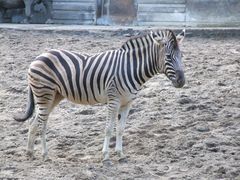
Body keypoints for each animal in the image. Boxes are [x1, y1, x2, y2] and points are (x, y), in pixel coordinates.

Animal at [13, 29, 186, 162]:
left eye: (182, 56)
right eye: (168, 57)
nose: (182, 81)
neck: (131, 68)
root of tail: (39, 56)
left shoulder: (127, 102)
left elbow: (121, 129)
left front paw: (120, 154)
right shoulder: (114, 100)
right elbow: (108, 128)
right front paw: (106, 156)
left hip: (54, 95)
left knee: (34, 122)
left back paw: (31, 153)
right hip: (45, 94)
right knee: (41, 124)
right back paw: (44, 155)